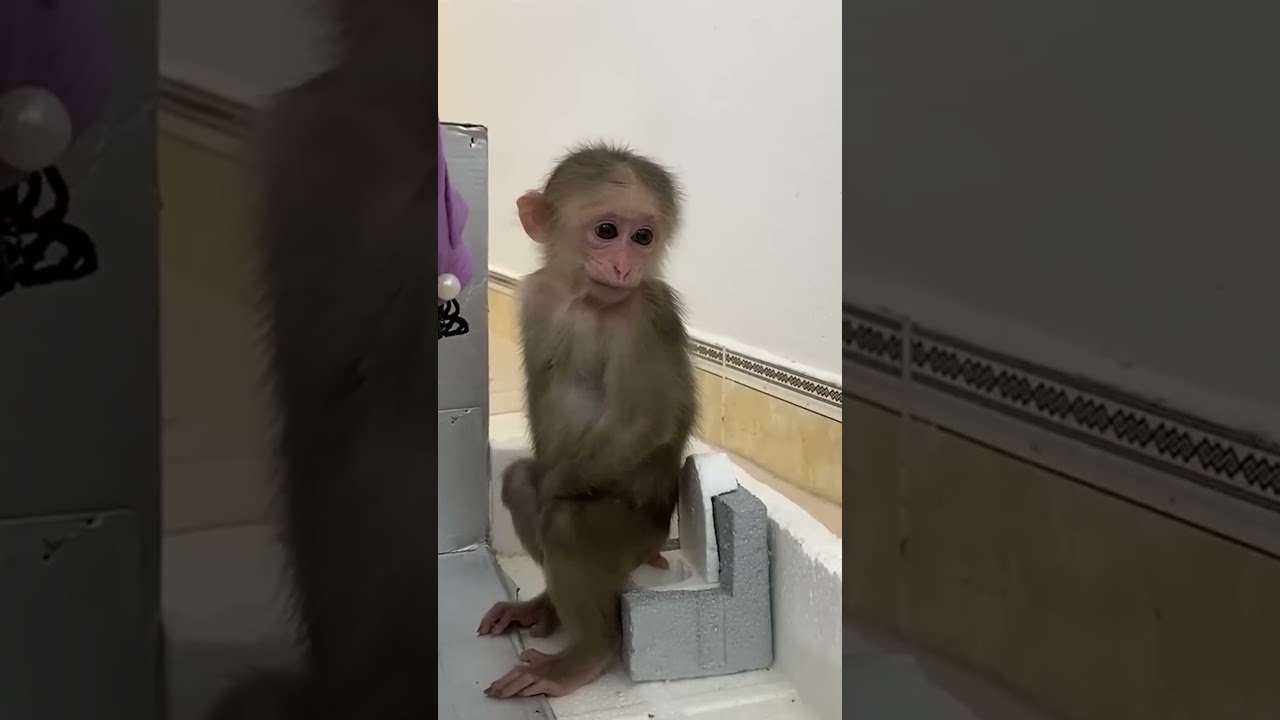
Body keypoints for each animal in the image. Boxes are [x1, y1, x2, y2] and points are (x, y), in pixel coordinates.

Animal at [475, 143, 698, 700]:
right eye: (607, 230)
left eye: (643, 237)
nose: (623, 265)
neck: (586, 299)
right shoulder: (537, 298)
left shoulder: (648, 317)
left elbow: (647, 422)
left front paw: (554, 491)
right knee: (519, 482)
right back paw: (549, 608)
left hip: (636, 536)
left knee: (566, 521)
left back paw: (587, 652)